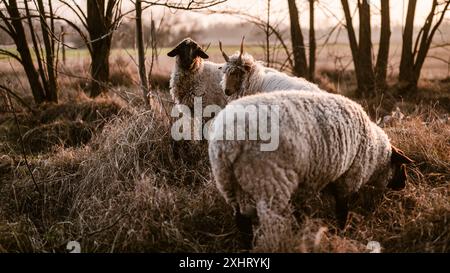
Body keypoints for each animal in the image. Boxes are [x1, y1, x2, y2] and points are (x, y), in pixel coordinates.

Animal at [209, 90, 414, 246]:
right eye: (401, 166)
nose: (404, 185)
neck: (375, 152)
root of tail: (227, 141)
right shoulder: (347, 178)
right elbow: (342, 210)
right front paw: (341, 233)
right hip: (270, 183)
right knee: (271, 223)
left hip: (230, 185)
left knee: (241, 221)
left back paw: (247, 247)